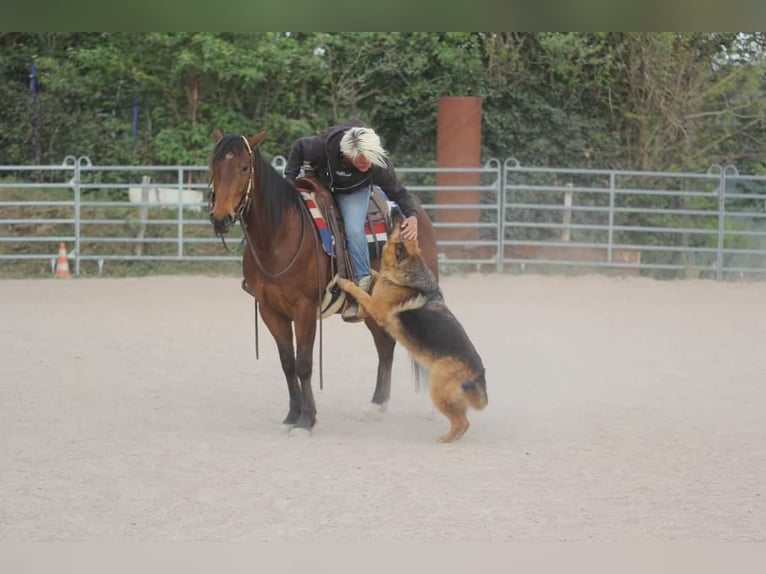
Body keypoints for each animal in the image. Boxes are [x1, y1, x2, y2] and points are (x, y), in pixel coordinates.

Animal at [208, 129, 438, 432]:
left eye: (244, 167)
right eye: (214, 166)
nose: (220, 218)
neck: (279, 235)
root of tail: (414, 215)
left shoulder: (305, 308)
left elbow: (304, 363)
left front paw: (307, 420)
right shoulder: (271, 310)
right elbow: (287, 363)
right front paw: (292, 415)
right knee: (385, 346)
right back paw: (376, 406)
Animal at [340, 214, 488, 444]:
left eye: (399, 231)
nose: (403, 216)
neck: (410, 270)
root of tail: (478, 372)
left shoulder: (377, 309)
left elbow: (361, 292)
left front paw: (346, 281)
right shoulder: (373, 305)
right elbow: (374, 278)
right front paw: (370, 274)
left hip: (438, 390)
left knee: (462, 422)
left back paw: (443, 439)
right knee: (463, 420)